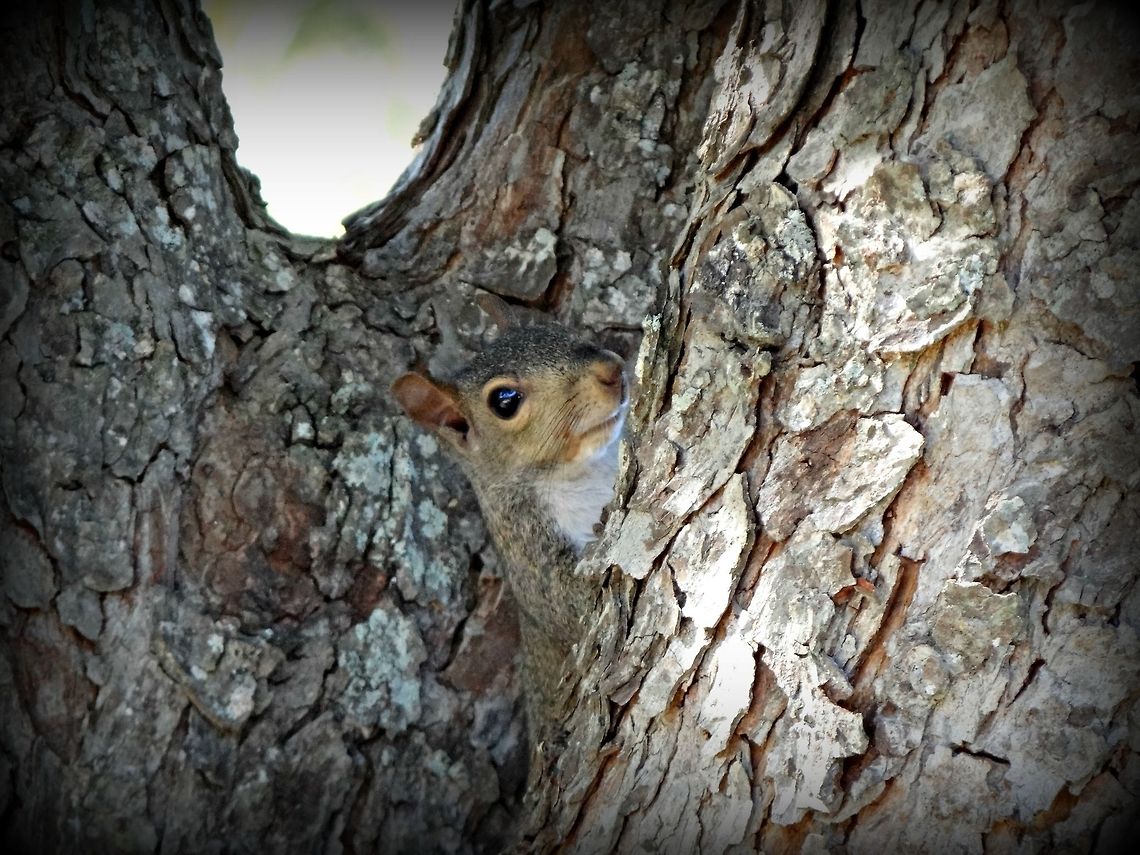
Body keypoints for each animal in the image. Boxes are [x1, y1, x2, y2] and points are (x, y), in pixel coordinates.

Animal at [391, 305, 628, 743]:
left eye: (556, 329)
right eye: (504, 401)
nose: (611, 368)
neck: (585, 470)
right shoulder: (529, 549)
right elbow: (574, 602)